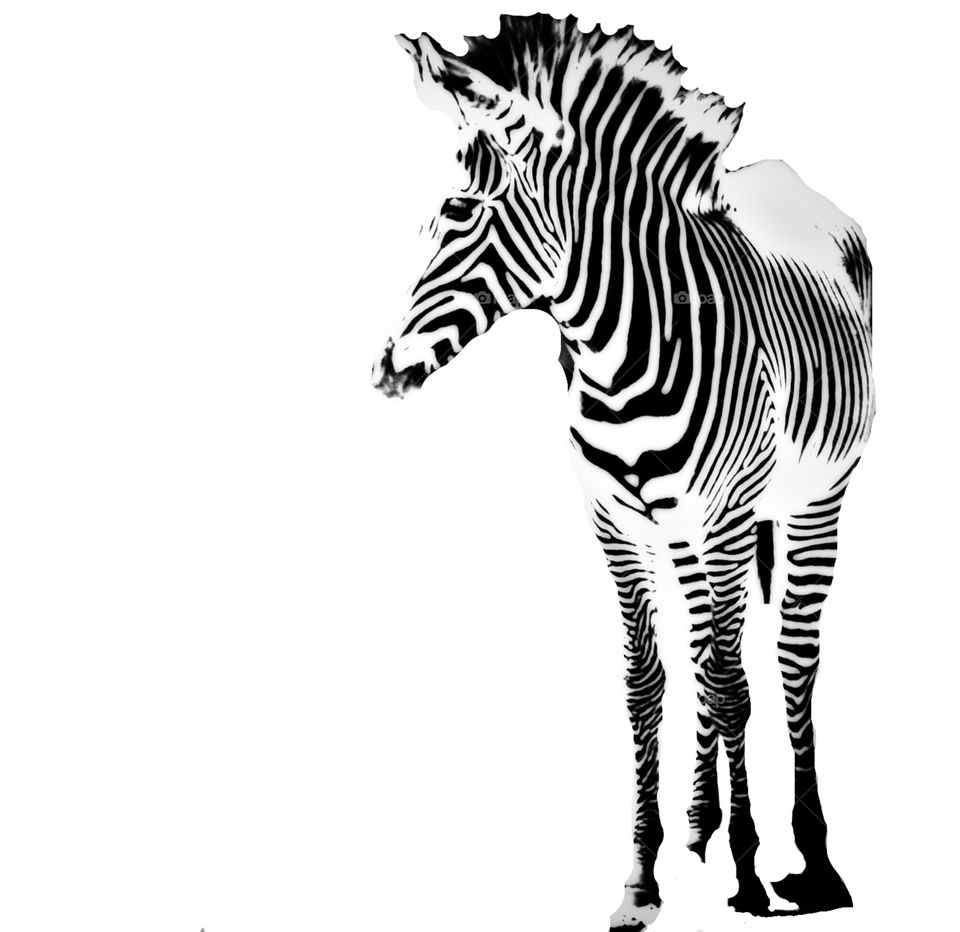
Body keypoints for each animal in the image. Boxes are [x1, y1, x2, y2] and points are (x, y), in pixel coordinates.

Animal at [372, 15, 873, 931]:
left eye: (458, 211)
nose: (382, 368)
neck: (618, 354)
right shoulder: (612, 519)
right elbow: (651, 682)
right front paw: (643, 877)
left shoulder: (723, 516)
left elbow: (730, 683)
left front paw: (751, 872)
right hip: (684, 528)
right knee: (713, 648)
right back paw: (702, 823)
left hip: (814, 496)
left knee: (789, 657)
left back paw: (812, 859)